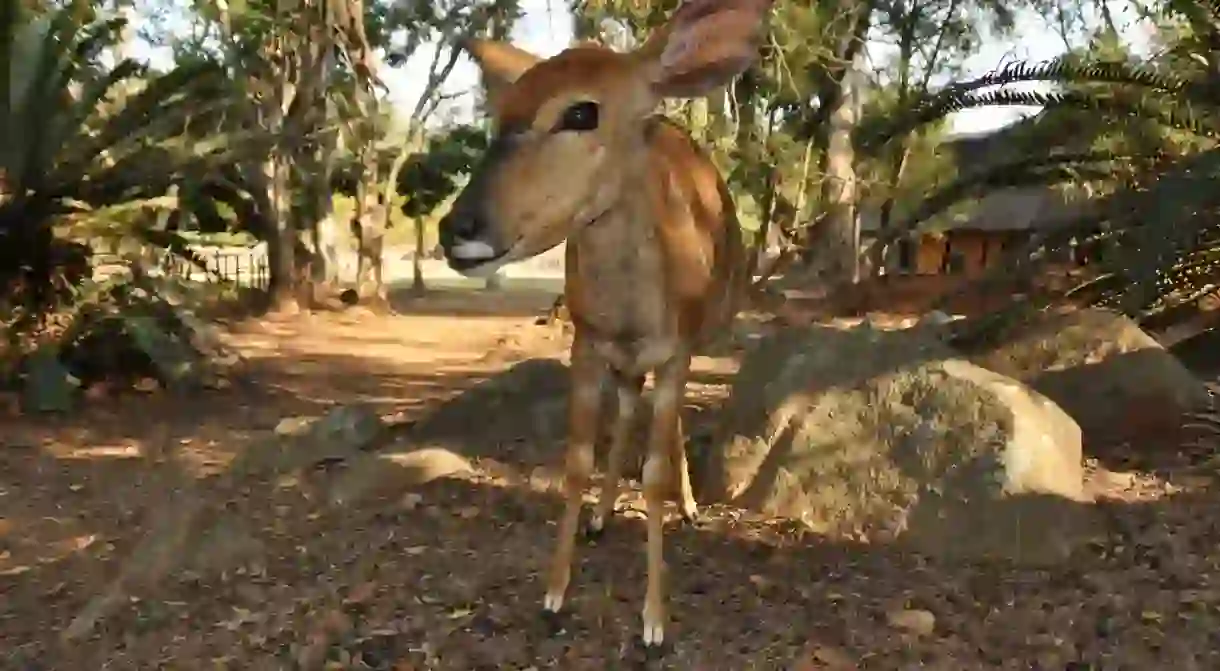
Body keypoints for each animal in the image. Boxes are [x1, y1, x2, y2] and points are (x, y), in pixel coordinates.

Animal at [439, 0, 775, 653]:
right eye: (502, 113)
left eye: (581, 111)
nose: (457, 228)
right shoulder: (587, 341)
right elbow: (575, 460)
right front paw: (553, 594)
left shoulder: (676, 349)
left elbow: (654, 473)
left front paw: (653, 623)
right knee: (627, 410)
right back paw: (602, 515)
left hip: (698, 341)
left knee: (665, 426)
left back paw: (688, 507)